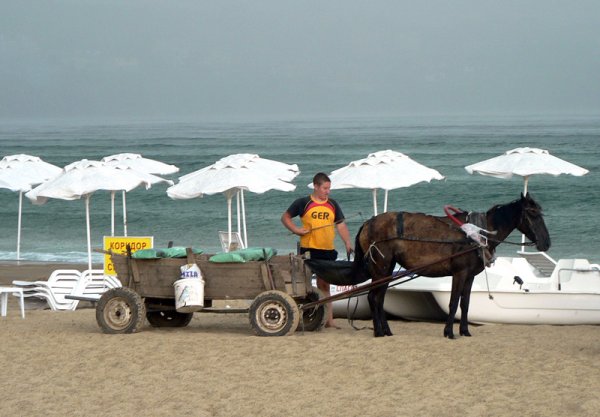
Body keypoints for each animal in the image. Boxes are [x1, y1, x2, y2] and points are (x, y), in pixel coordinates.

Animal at [354, 193, 552, 338]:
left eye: (540, 213)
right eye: (532, 213)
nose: (547, 243)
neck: (478, 234)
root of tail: (367, 224)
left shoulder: (470, 276)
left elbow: (465, 303)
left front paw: (464, 330)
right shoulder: (460, 273)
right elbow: (453, 302)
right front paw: (449, 332)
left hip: (387, 269)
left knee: (379, 298)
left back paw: (386, 330)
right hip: (380, 268)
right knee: (373, 297)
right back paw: (378, 332)